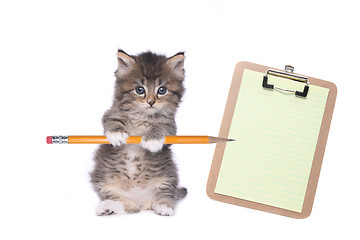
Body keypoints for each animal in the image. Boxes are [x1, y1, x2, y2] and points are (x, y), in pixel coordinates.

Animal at [90, 49, 187, 217]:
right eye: (139, 90)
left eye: (162, 90)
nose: (151, 102)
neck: (142, 116)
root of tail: (141, 202)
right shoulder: (110, 114)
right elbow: (113, 122)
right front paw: (117, 135)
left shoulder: (170, 126)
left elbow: (160, 127)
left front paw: (152, 141)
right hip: (105, 184)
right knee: (128, 206)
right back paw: (107, 207)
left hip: (167, 178)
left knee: (163, 196)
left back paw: (164, 206)